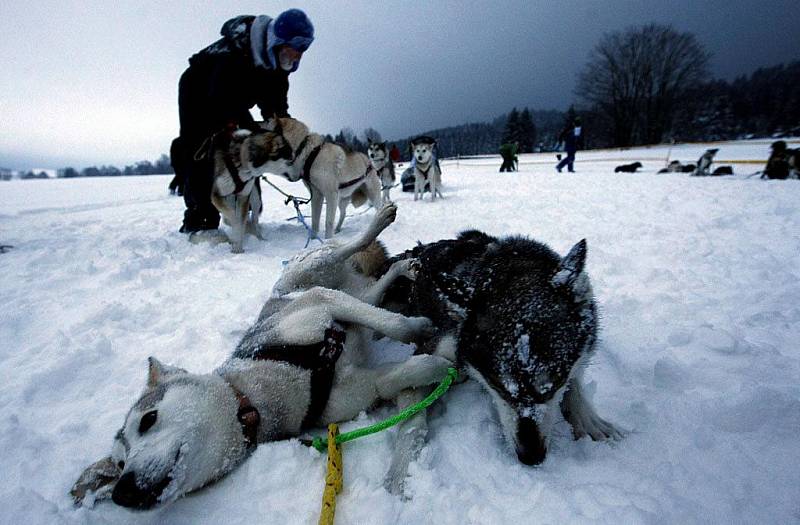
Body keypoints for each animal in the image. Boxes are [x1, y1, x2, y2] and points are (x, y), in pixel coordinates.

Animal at [72, 204, 454, 508]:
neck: (253, 398)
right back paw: (399, 270)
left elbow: (396, 325)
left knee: (349, 249)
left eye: (148, 420)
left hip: (312, 273)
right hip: (348, 290)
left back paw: (378, 224)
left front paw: (420, 331)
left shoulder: (322, 302)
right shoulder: (355, 389)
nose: (122, 491)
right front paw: (431, 366)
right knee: (374, 291)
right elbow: (391, 377)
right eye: (120, 465)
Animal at [384, 229, 620, 462]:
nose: (531, 456)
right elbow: (412, 424)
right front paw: (401, 471)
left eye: (555, 383)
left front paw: (587, 419)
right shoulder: (434, 350)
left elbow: (575, 379)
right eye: (497, 385)